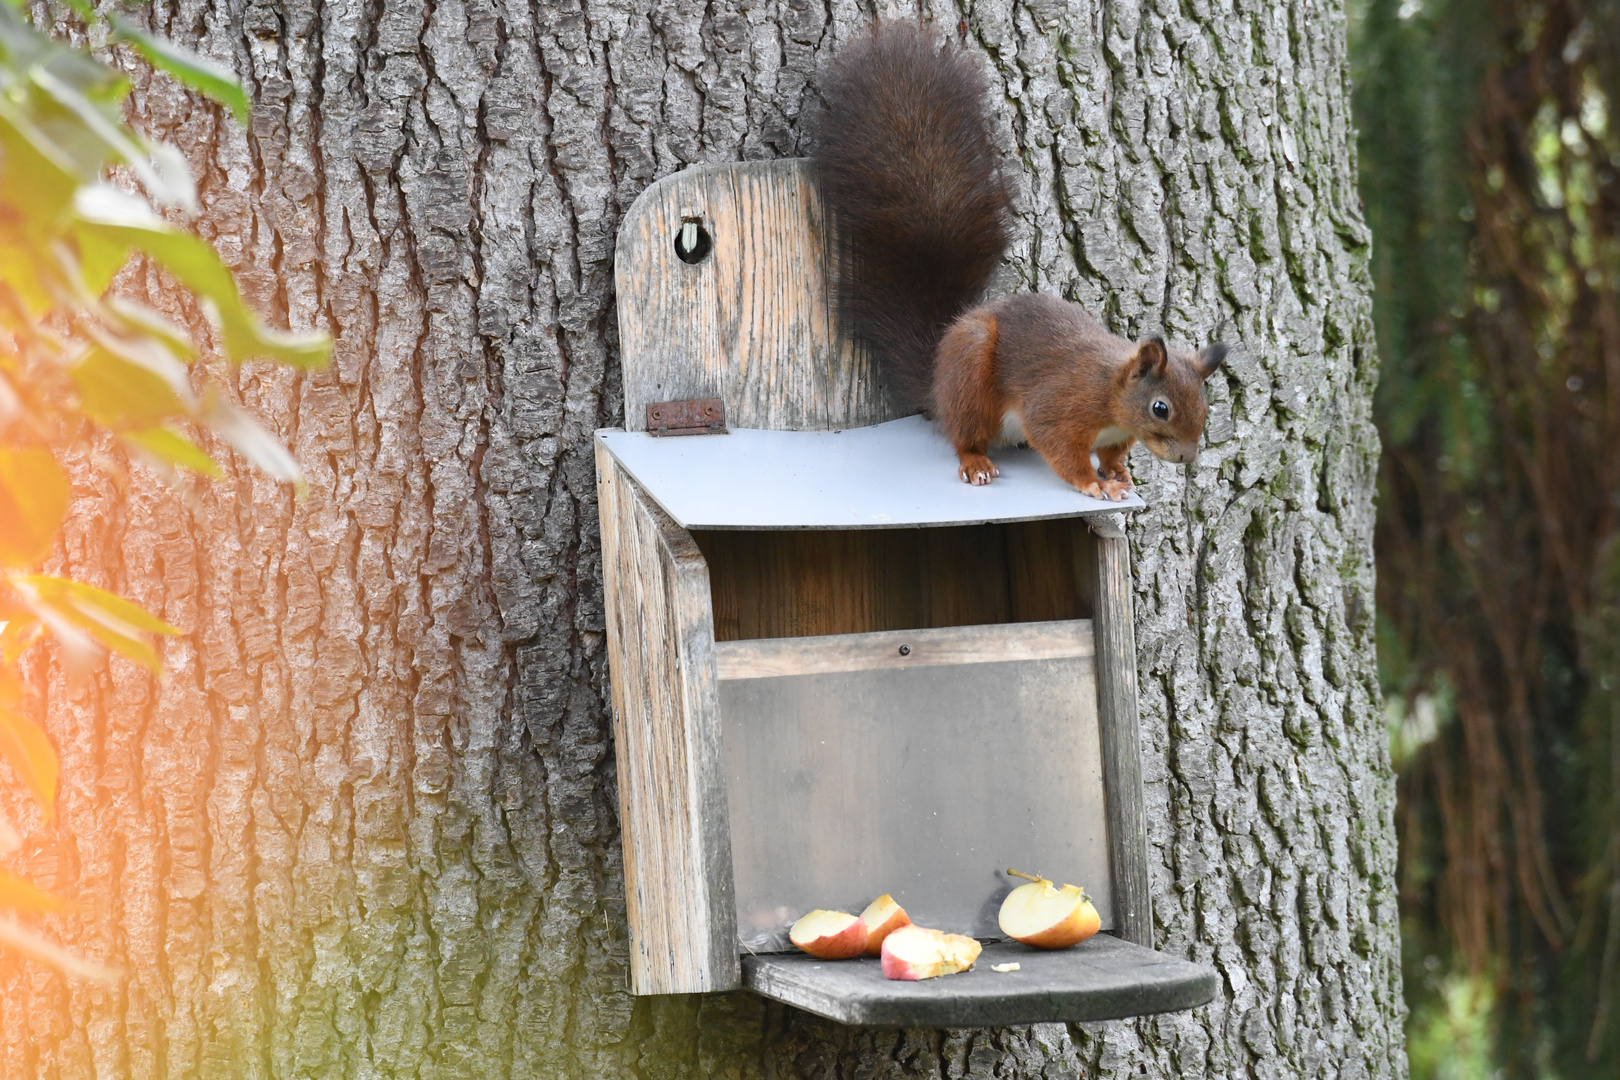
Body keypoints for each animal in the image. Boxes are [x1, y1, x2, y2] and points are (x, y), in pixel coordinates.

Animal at [816, 21, 1218, 501]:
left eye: (1205, 404)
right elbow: (1059, 447)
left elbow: (1112, 453)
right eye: (1160, 408)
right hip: (971, 377)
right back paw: (975, 462)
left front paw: (1119, 474)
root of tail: (937, 384)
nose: (1188, 458)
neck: (1112, 392)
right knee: (966, 434)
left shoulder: (1118, 434)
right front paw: (1093, 484)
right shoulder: (1061, 406)